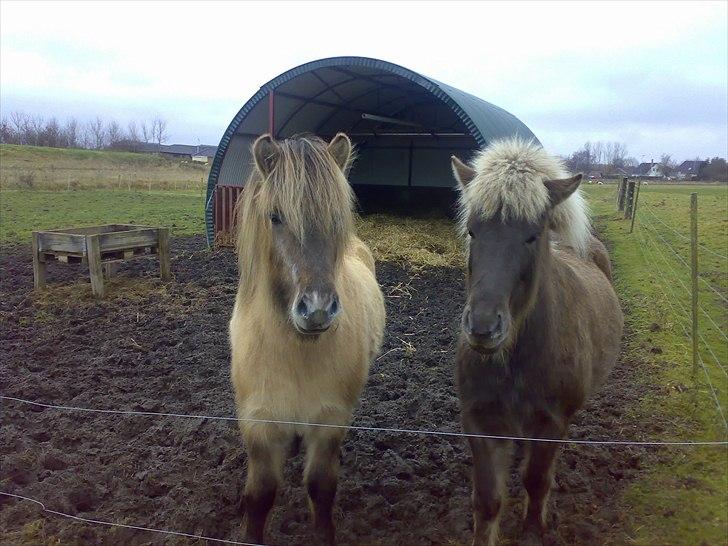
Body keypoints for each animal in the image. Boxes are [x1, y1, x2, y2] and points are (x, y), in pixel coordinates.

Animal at [229, 133, 386, 544]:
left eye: (337, 217)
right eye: (275, 216)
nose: (316, 310)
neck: (295, 354)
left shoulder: (328, 423)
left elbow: (321, 487)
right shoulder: (260, 425)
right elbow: (260, 496)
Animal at [452, 138, 624, 540]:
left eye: (531, 235)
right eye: (472, 231)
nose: (483, 327)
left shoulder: (551, 424)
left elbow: (535, 480)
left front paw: (534, 527)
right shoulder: (480, 420)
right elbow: (488, 501)